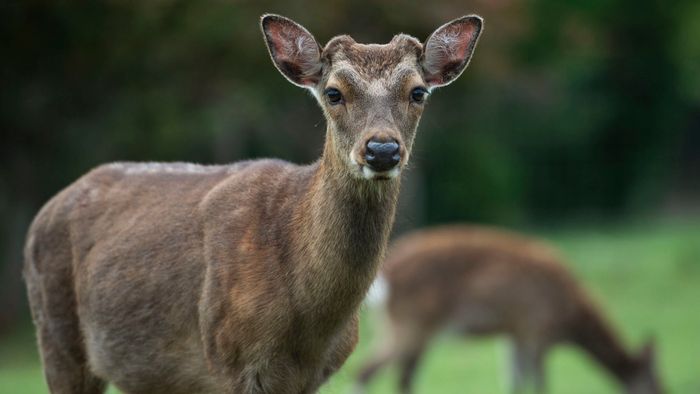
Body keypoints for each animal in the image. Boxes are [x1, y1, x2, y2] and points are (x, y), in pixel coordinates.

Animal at [20, 13, 482, 394]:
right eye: (334, 93)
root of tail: (42, 214)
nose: (382, 150)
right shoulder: (228, 357)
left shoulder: (316, 374)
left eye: (418, 92)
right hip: (55, 335)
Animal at [356, 225, 660, 394]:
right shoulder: (537, 330)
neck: (569, 318)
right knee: (367, 370)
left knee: (403, 378)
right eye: (655, 381)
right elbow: (540, 384)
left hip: (408, 328)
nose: (664, 389)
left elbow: (515, 382)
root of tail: (385, 278)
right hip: (410, 325)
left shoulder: (514, 333)